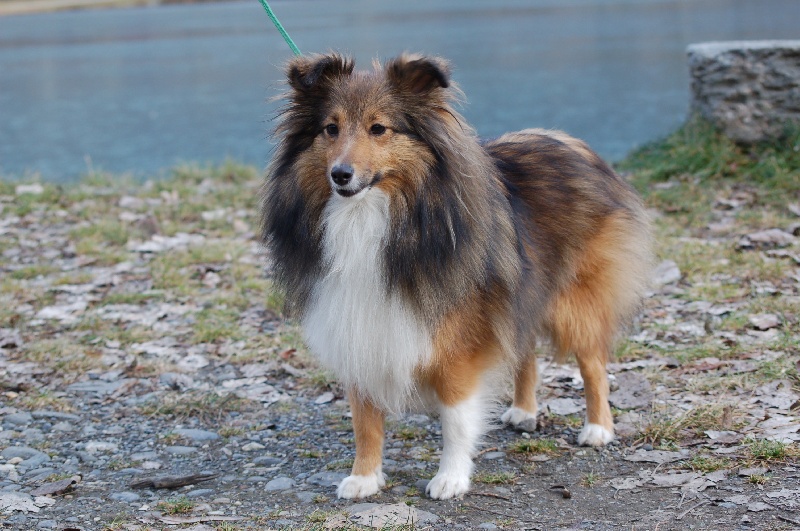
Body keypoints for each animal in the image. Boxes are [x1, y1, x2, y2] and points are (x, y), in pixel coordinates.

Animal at [261, 53, 652, 500]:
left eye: (379, 128)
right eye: (330, 128)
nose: (340, 175)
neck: (371, 218)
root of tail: (572, 143)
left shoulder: (457, 345)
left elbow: (456, 418)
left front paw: (450, 477)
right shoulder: (358, 328)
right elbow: (364, 419)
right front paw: (364, 477)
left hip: (576, 303)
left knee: (593, 365)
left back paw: (598, 428)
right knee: (524, 352)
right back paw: (523, 410)